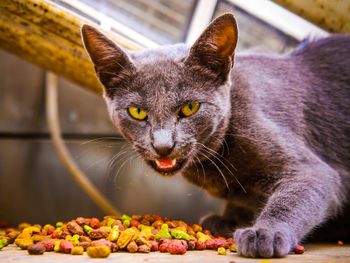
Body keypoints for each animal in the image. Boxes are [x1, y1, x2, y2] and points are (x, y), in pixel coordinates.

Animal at [82, 13, 350, 258]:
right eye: (137, 112)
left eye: (190, 108)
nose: (163, 145)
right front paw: (229, 220)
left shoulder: (311, 169)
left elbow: (295, 194)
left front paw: (265, 233)